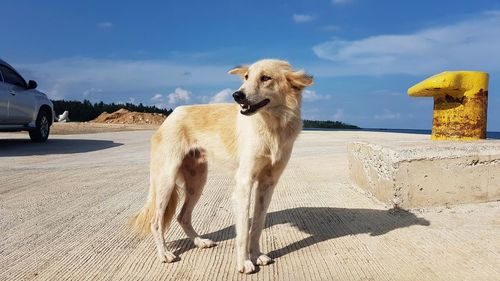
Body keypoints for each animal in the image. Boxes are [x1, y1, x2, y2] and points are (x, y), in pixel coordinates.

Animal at [129, 58, 312, 272]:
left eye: (266, 78)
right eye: (246, 77)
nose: (237, 95)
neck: (272, 126)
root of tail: (172, 114)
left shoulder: (267, 184)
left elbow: (257, 226)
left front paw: (257, 255)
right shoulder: (244, 182)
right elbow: (243, 231)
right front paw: (244, 263)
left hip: (197, 181)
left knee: (183, 216)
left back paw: (199, 241)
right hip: (166, 180)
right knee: (156, 221)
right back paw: (164, 253)